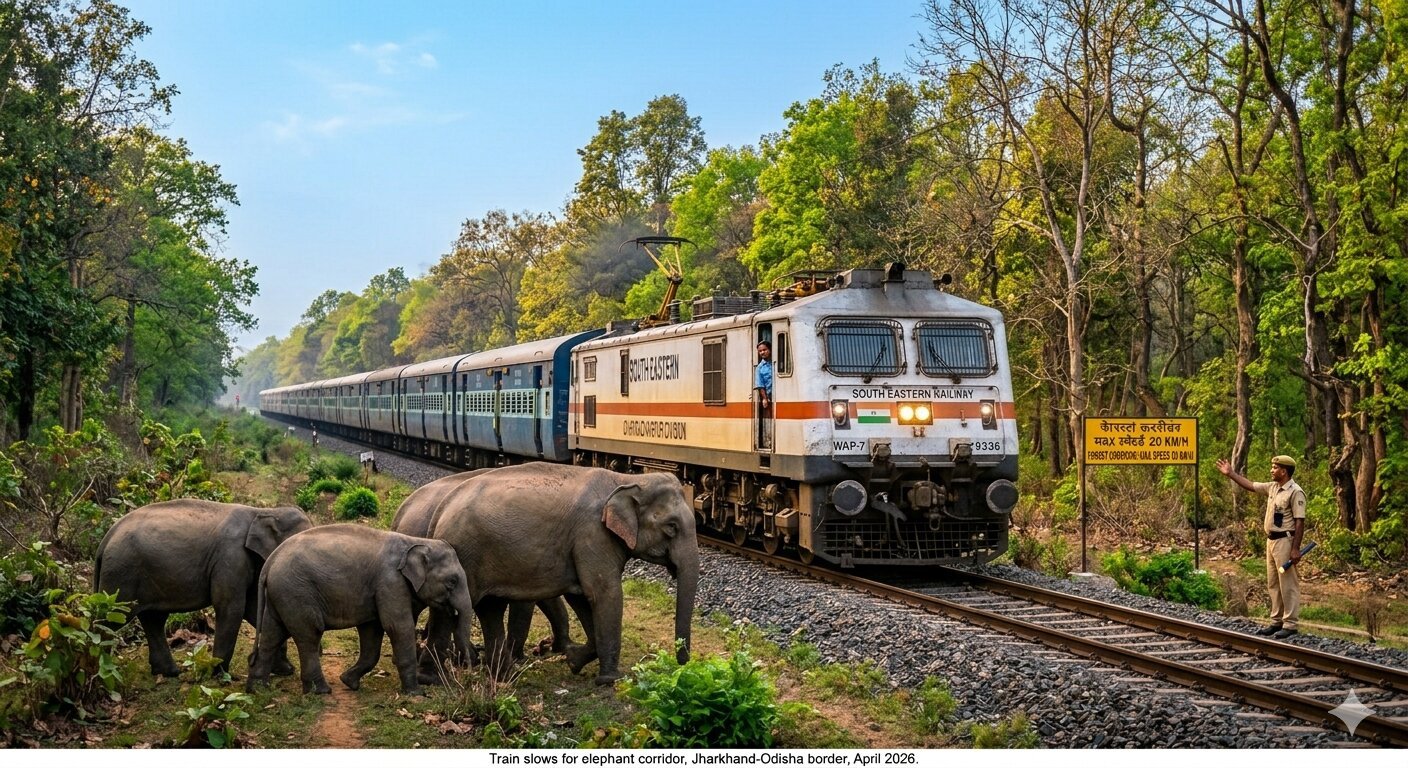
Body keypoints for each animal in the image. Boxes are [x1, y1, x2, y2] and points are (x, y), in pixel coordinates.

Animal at [94, 499, 312, 677]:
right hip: (121, 574)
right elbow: (230, 607)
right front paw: (219, 675)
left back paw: (169, 672)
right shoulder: (229, 558)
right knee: (109, 620)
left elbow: (255, 609)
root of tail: (105, 539)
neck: (262, 511)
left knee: (153, 619)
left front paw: (285, 670)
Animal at [247, 524, 475, 696]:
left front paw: (349, 682)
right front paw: (415, 694)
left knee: (272, 634)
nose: (469, 672)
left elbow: (372, 631)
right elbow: (398, 627)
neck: (415, 541)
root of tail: (270, 562)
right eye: (452, 582)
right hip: (296, 592)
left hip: (280, 595)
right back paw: (320, 691)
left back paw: (258, 689)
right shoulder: (391, 582)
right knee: (309, 635)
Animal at [424, 462, 699, 684]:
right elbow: (603, 593)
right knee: (451, 611)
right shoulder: (592, 534)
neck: (626, 479)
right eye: (671, 527)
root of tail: (440, 510)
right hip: (465, 556)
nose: (682, 665)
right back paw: (434, 678)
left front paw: (573, 660)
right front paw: (610, 680)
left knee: (489, 609)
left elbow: (581, 597)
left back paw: (505, 677)